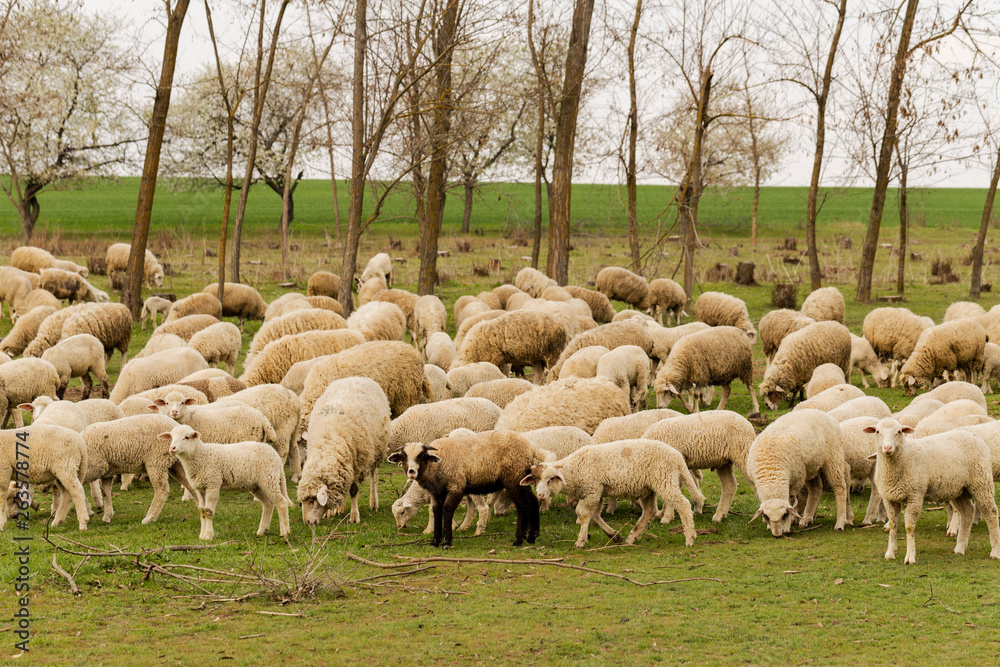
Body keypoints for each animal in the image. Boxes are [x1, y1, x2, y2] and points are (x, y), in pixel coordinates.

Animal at [161, 425, 291, 541]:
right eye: (171, 437)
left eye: (187, 437)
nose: (172, 448)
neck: (201, 455)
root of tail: (276, 455)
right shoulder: (200, 488)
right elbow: (202, 511)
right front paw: (202, 535)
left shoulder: (212, 484)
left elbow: (208, 511)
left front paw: (208, 536)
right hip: (257, 485)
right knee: (268, 504)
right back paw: (261, 531)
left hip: (269, 478)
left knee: (281, 503)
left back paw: (285, 533)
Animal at [298, 377, 391, 525]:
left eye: (313, 499)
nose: (307, 522)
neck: (329, 444)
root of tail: (357, 377)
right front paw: (329, 512)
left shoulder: (357, 464)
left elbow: (353, 490)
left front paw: (354, 516)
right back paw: (340, 509)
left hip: (377, 451)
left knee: (374, 477)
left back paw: (373, 502)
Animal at [389, 430, 541, 547]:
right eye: (404, 456)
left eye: (422, 456)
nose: (411, 472)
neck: (437, 465)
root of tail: (531, 447)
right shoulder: (436, 492)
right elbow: (436, 512)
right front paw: (434, 541)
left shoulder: (457, 486)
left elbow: (447, 510)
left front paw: (446, 542)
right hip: (522, 479)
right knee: (533, 501)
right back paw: (532, 536)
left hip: (513, 478)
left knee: (523, 505)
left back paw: (518, 540)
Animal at [521, 438, 701, 547]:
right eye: (535, 480)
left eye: (551, 479)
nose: (540, 496)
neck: (575, 470)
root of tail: (677, 456)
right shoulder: (597, 492)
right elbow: (593, 515)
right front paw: (614, 536)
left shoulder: (593, 490)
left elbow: (584, 515)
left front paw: (581, 541)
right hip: (648, 488)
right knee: (649, 511)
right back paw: (632, 537)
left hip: (664, 479)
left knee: (683, 504)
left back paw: (690, 538)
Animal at [864, 418, 1000, 563]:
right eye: (877, 431)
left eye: (899, 431)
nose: (887, 448)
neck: (904, 456)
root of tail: (974, 437)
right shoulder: (889, 498)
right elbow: (893, 525)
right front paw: (890, 553)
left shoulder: (915, 495)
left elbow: (909, 527)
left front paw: (910, 557)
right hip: (958, 490)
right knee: (967, 512)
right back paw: (959, 548)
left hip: (981, 481)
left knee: (991, 512)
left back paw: (995, 551)